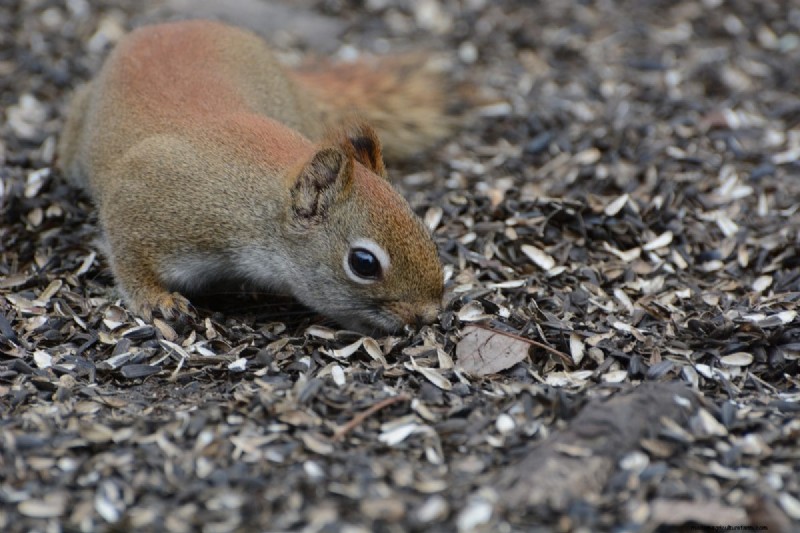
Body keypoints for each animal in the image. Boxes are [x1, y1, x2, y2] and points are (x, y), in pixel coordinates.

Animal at [57, 19, 451, 334]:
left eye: (427, 232)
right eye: (363, 264)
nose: (428, 315)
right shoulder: (144, 194)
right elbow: (129, 259)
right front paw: (156, 300)